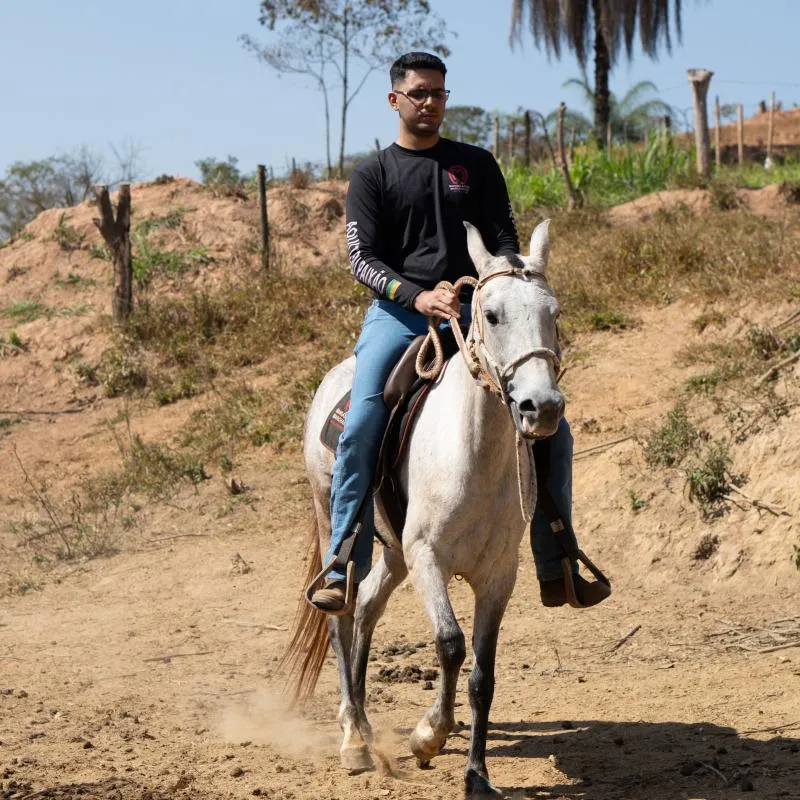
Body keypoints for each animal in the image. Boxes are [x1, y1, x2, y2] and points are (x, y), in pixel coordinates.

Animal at [282, 219, 564, 798]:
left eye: (555, 313)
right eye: (492, 314)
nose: (540, 408)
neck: (472, 454)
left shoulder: (498, 574)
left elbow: (483, 675)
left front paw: (476, 774)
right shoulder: (428, 558)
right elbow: (451, 644)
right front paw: (429, 735)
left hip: (392, 552)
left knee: (368, 607)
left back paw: (362, 721)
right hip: (334, 524)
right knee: (342, 615)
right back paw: (353, 738)